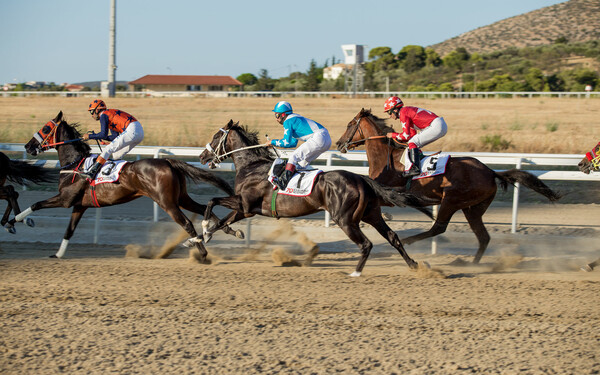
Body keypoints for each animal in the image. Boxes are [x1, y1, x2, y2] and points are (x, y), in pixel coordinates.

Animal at [9, 110, 241, 260]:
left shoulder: (66, 200)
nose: (28, 146)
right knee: (203, 208)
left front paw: (16, 221)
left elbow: (36, 204)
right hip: (181, 197)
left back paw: (202, 252)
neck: (75, 164)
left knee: (186, 223)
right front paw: (57, 254)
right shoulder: (79, 205)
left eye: (46, 128)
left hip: (167, 202)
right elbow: (69, 231)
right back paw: (227, 231)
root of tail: (168, 161)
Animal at [198, 119, 436, 278]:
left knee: (366, 244)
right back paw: (414, 265)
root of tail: (361, 178)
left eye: (216, 137)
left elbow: (212, 202)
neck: (251, 166)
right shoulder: (245, 208)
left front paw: (205, 229)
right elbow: (223, 220)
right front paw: (207, 236)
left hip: (345, 219)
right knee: (393, 237)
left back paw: (355, 273)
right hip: (371, 214)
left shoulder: (245, 204)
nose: (202, 156)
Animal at [338, 108, 564, 264]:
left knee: (439, 227)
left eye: (349, 124)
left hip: (452, 200)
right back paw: (470, 264)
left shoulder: (390, 192)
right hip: (472, 208)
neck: (387, 157)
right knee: (483, 237)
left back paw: (411, 240)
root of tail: (491, 172)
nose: (340, 144)